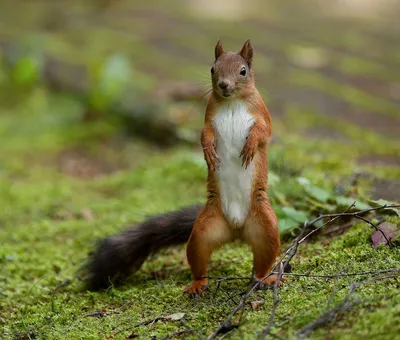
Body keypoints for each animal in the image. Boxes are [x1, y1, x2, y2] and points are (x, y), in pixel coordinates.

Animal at [85, 39, 282, 294]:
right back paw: (198, 284)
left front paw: (249, 147)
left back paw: (264, 279)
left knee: (263, 259)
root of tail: (237, 229)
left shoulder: (262, 113)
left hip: (266, 227)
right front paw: (208, 152)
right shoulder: (208, 117)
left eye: (243, 71)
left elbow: (263, 132)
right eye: (212, 69)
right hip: (202, 232)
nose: (223, 85)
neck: (232, 102)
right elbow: (204, 134)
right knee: (199, 259)